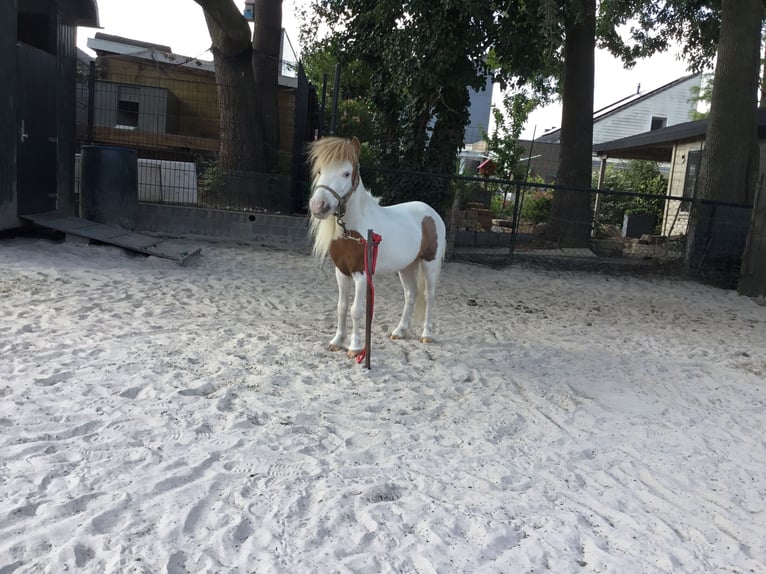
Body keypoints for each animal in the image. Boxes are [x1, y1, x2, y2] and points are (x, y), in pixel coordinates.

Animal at [307, 136, 446, 358]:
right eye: (319, 170)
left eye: (346, 173)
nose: (318, 205)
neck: (354, 230)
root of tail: (431, 213)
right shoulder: (341, 272)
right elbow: (341, 307)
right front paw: (337, 341)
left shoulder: (362, 274)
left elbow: (356, 310)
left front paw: (355, 348)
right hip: (406, 267)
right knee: (411, 294)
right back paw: (399, 331)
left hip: (429, 264)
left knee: (428, 296)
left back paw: (426, 334)